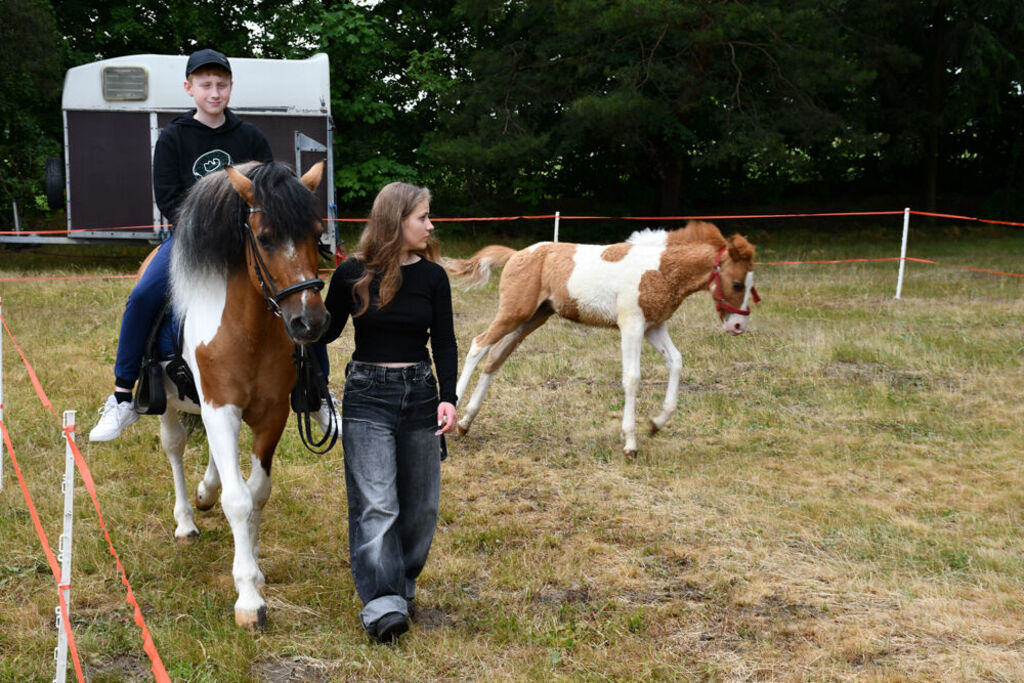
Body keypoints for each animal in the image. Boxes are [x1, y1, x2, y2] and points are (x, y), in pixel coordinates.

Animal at [153, 160, 327, 630]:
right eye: (265, 238)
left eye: (318, 234)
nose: (310, 323)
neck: (248, 331)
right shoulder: (219, 408)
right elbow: (237, 500)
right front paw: (248, 597)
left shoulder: (271, 415)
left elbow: (257, 492)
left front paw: (255, 567)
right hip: (169, 405)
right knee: (174, 447)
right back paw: (185, 521)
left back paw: (205, 492)